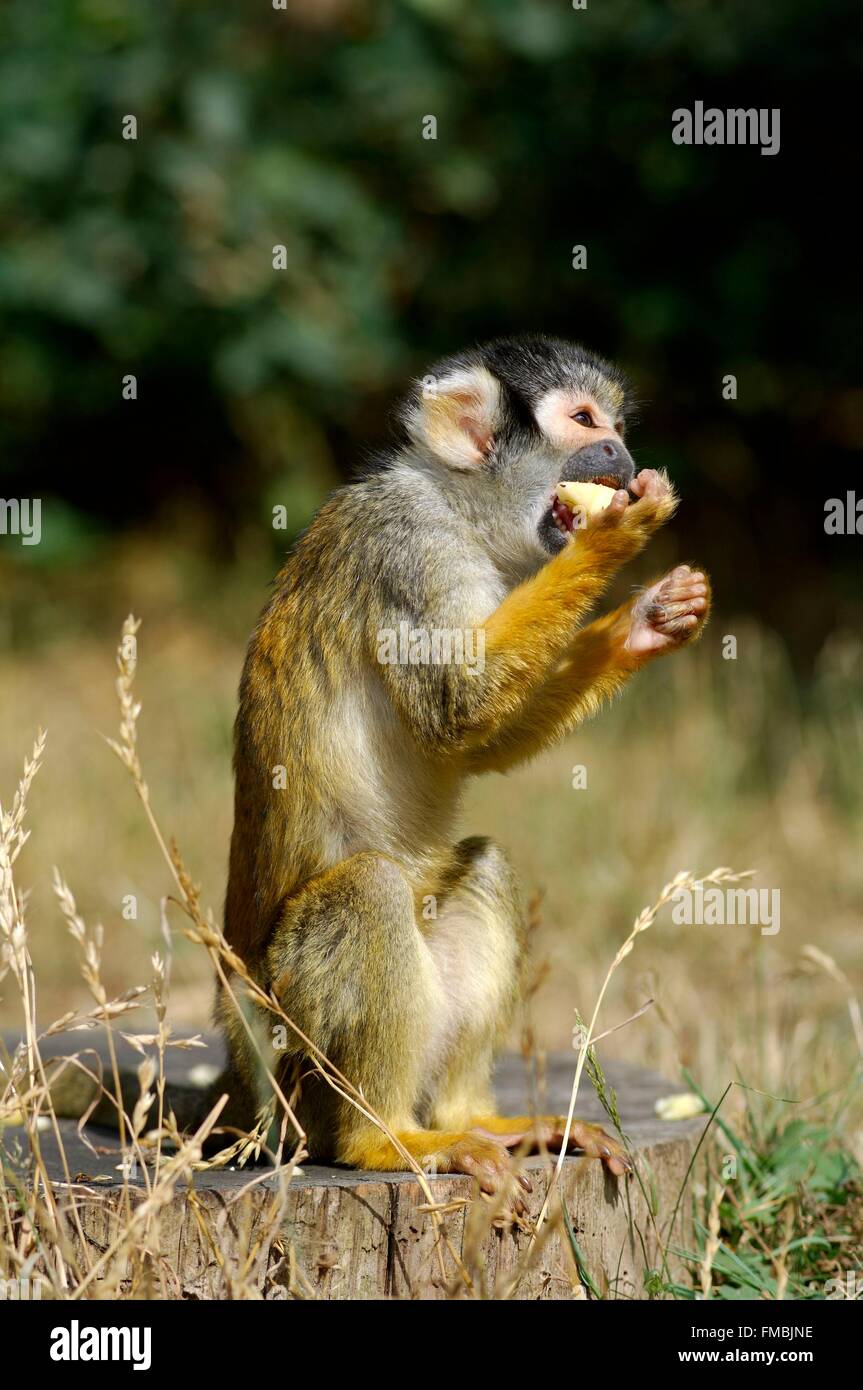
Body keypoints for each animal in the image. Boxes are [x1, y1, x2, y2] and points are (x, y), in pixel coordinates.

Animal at [218, 330, 711, 1189]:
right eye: (585, 421)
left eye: (615, 424)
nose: (620, 452)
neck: (458, 508)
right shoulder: (408, 549)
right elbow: (459, 705)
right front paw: (618, 535)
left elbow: (482, 741)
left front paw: (646, 620)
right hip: (290, 1045)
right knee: (370, 890)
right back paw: (382, 1141)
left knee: (479, 864)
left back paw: (473, 1120)